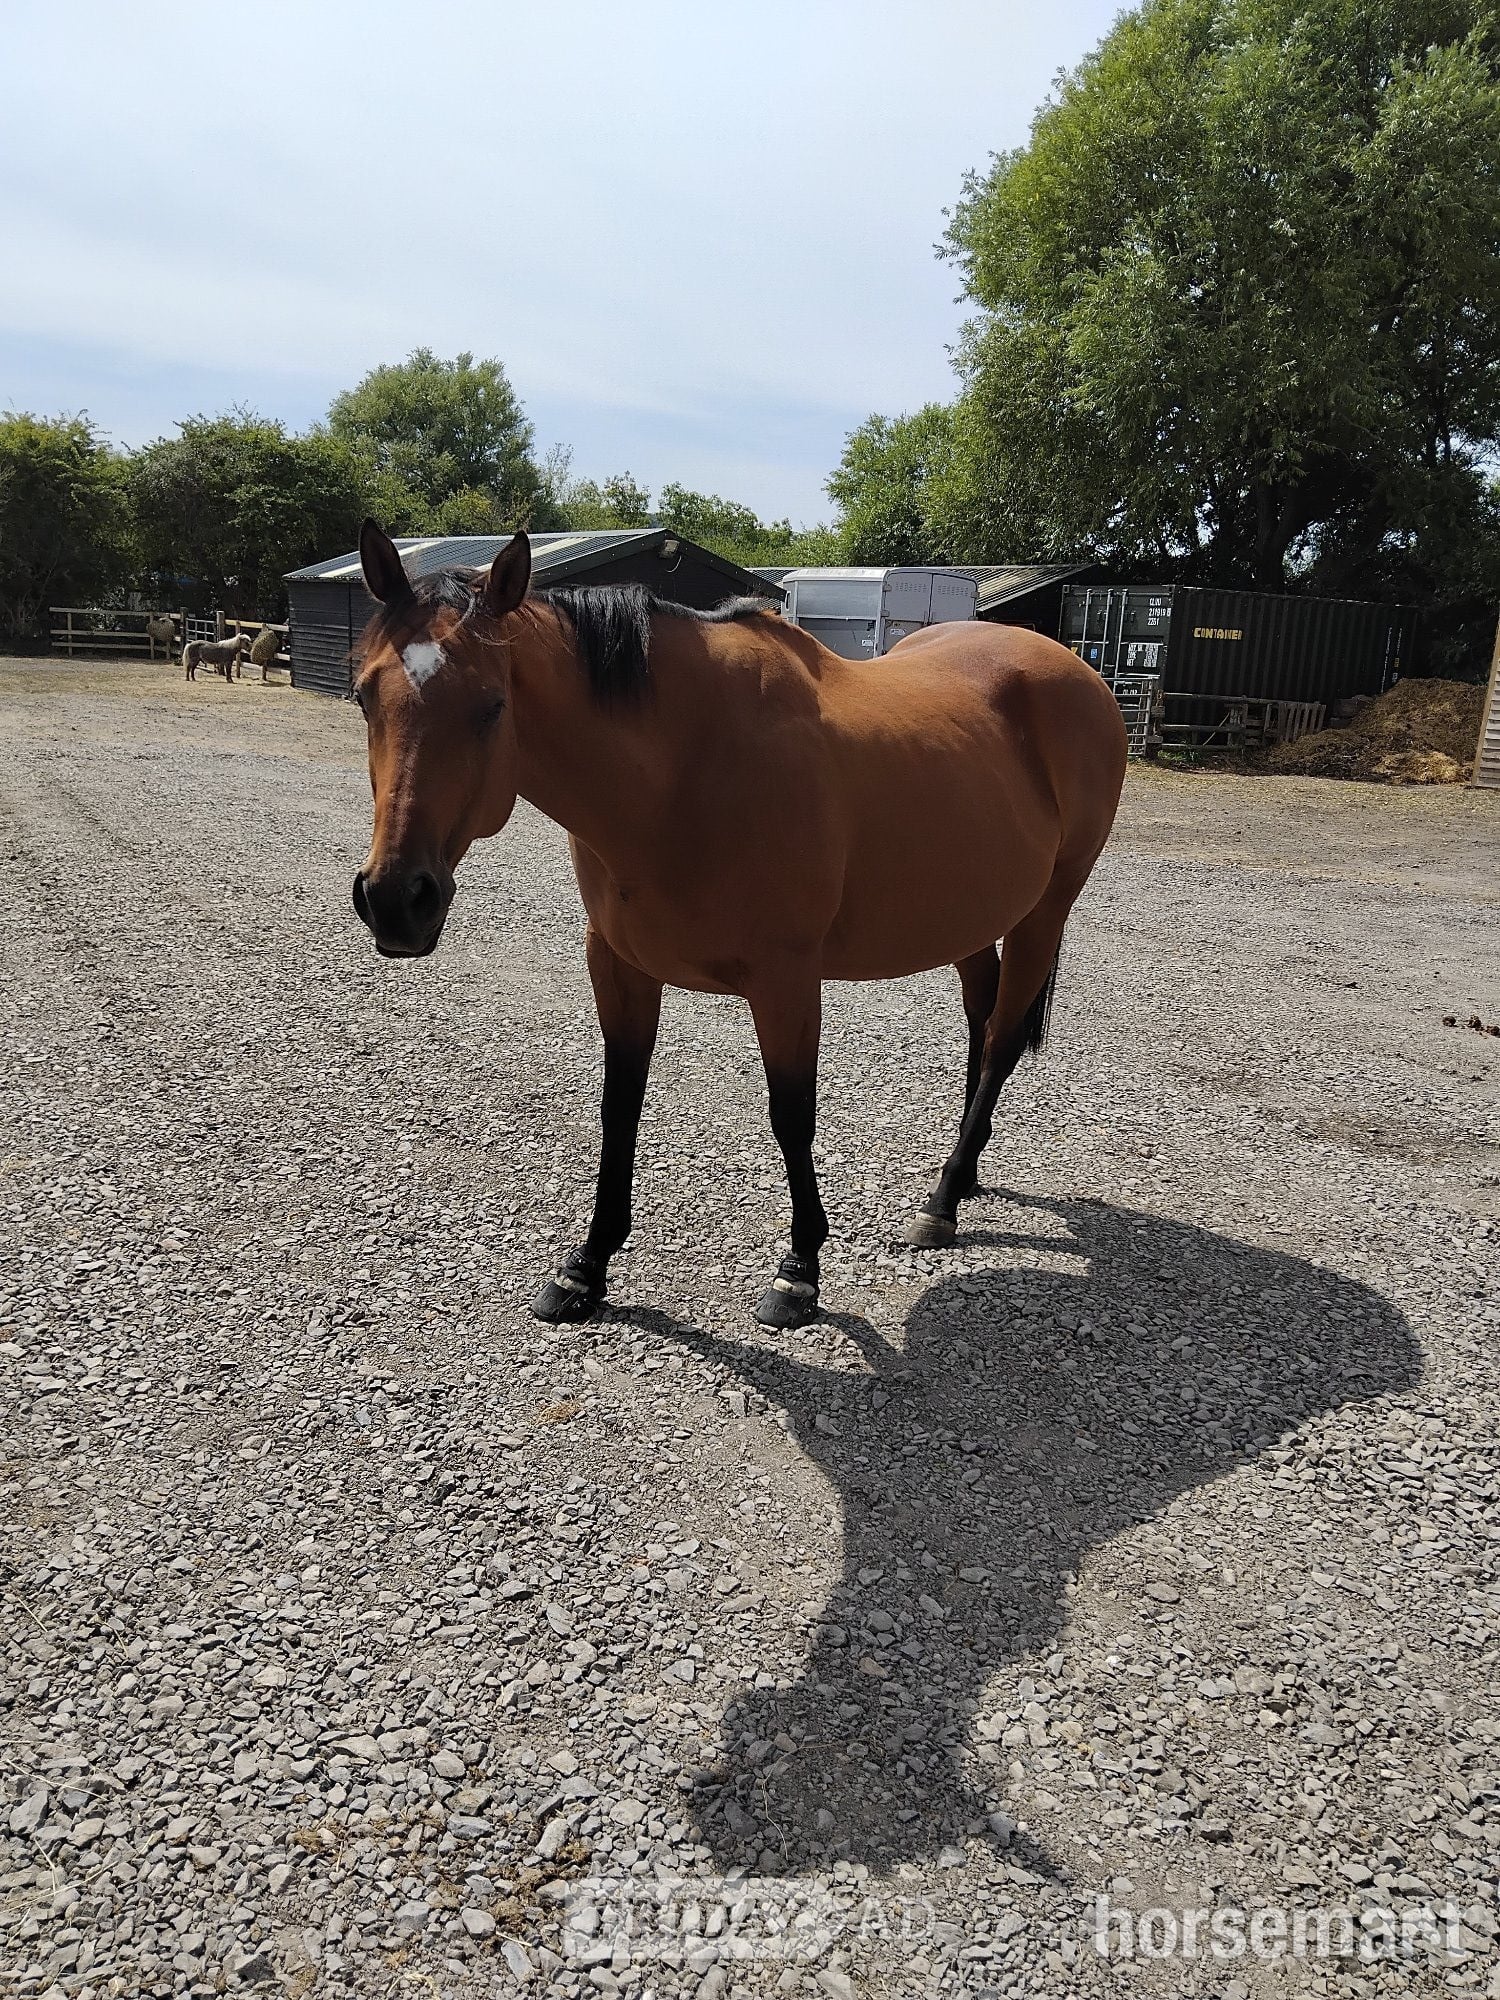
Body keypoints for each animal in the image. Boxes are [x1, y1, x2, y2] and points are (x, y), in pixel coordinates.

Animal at [349, 519, 1128, 1331]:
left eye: (492, 704)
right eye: (365, 695)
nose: (396, 899)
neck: (684, 769)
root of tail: (1076, 673)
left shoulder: (785, 980)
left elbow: (792, 1115)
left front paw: (800, 1270)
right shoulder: (619, 966)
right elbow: (619, 1107)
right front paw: (587, 1266)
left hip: (1048, 908)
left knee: (1002, 1040)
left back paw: (942, 1201)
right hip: (972, 915)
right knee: (982, 1018)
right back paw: (964, 1177)